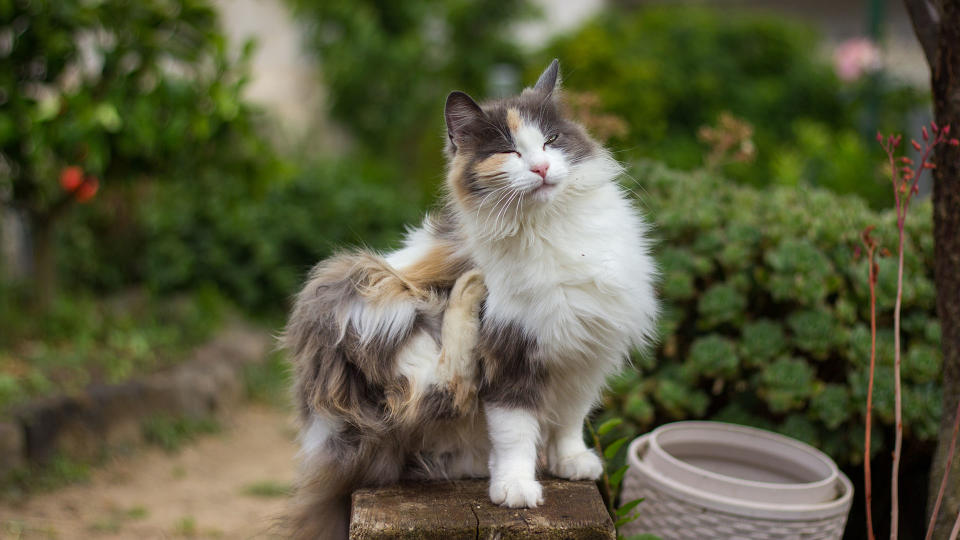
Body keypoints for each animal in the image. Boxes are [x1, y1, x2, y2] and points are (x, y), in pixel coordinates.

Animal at [284, 60, 660, 540]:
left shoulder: (586, 354)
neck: (549, 227)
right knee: (437, 390)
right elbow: (515, 430)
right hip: (364, 295)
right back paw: (469, 288)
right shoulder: (510, 354)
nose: (541, 167)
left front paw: (572, 462)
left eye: (551, 140)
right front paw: (516, 489)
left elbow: (571, 418)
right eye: (509, 152)